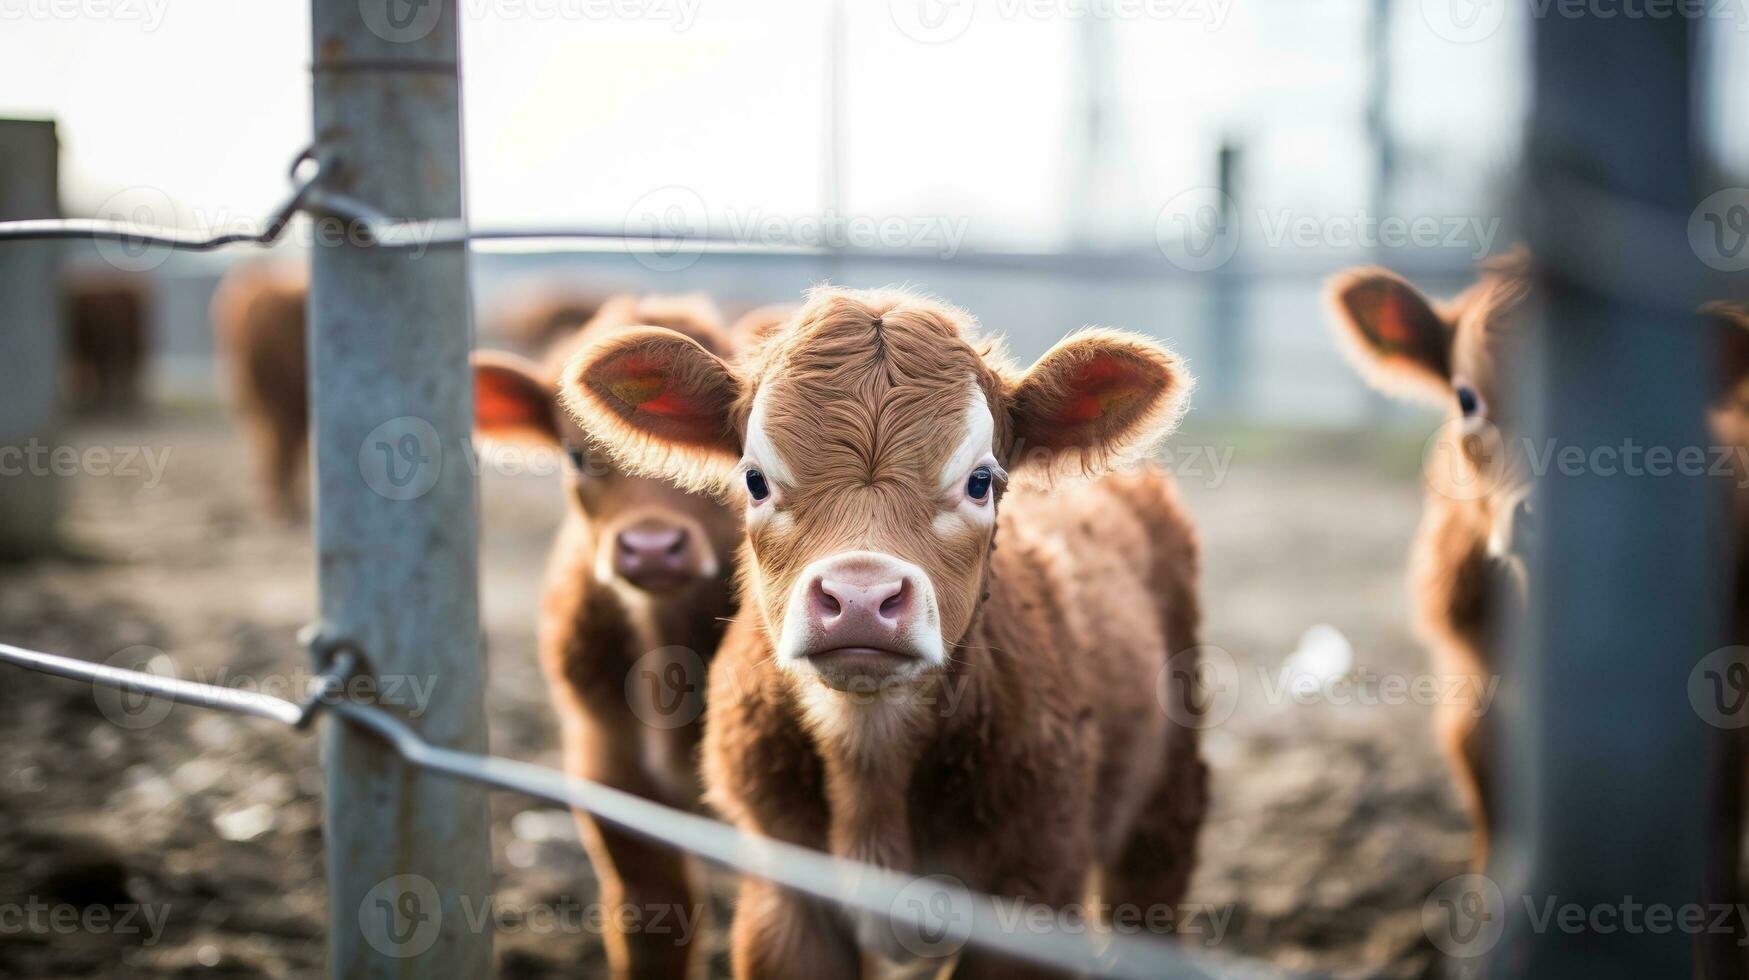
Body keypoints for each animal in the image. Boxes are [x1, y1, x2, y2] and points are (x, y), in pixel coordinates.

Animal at [559, 287, 1203, 973]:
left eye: (981, 480)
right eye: (754, 480)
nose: (860, 598)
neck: (869, 760)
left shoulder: (1039, 880)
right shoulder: (784, 899)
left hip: (1170, 781)